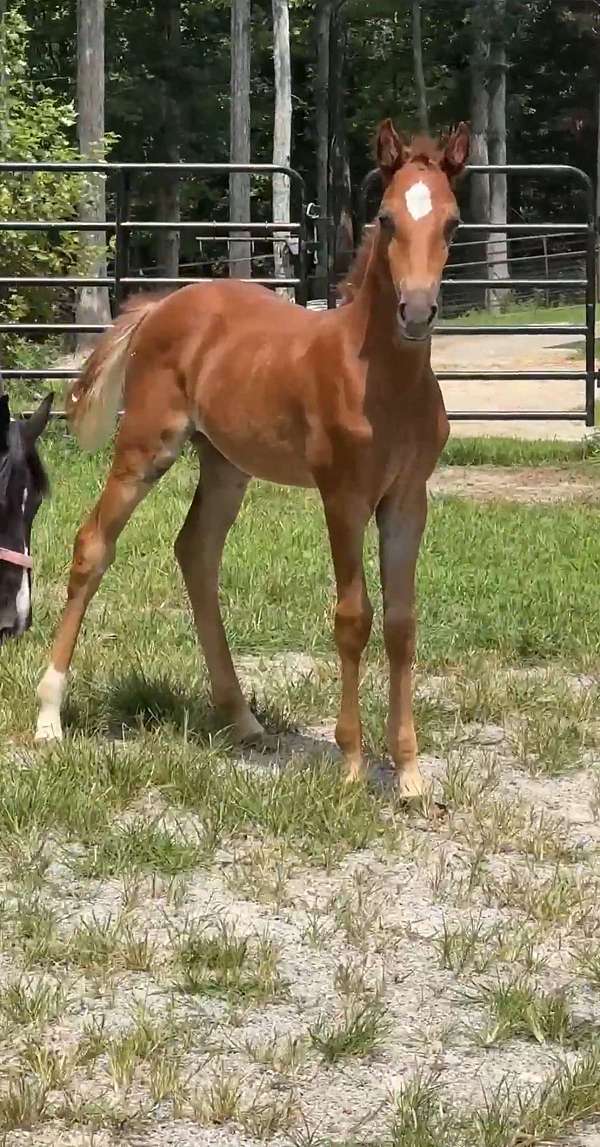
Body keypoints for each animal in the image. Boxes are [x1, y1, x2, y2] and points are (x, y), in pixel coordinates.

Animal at [35, 118, 472, 798]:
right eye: (387, 217)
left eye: (451, 222)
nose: (417, 311)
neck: (381, 381)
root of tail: (162, 305)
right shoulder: (342, 495)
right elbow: (354, 617)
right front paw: (351, 767)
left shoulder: (407, 499)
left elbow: (402, 625)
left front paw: (409, 777)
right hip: (146, 447)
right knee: (93, 544)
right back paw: (49, 716)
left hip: (225, 464)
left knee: (196, 552)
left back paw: (242, 719)